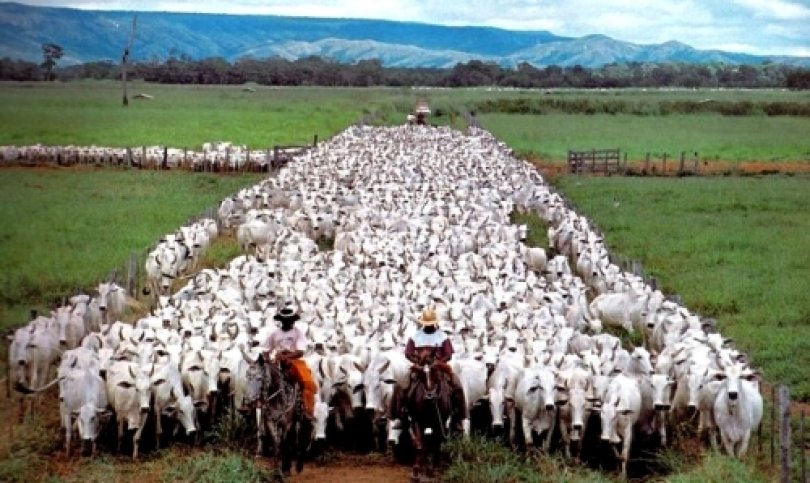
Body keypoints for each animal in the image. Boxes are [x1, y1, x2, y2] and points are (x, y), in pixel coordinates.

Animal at [402, 352, 454, 483]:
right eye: (421, 373)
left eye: (435, 371)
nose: (430, 395)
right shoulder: (417, 421)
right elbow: (420, 445)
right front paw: (416, 471)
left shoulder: (438, 423)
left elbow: (434, 445)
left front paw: (430, 471)